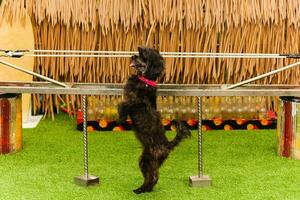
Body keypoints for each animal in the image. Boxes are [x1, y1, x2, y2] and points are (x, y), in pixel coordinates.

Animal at [117, 47, 190, 194]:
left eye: (143, 56)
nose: (132, 56)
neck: (145, 80)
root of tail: (168, 144)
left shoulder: (134, 102)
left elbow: (123, 105)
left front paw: (120, 120)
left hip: (147, 160)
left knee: (153, 177)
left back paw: (140, 190)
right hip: (148, 159)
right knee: (153, 176)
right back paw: (146, 189)